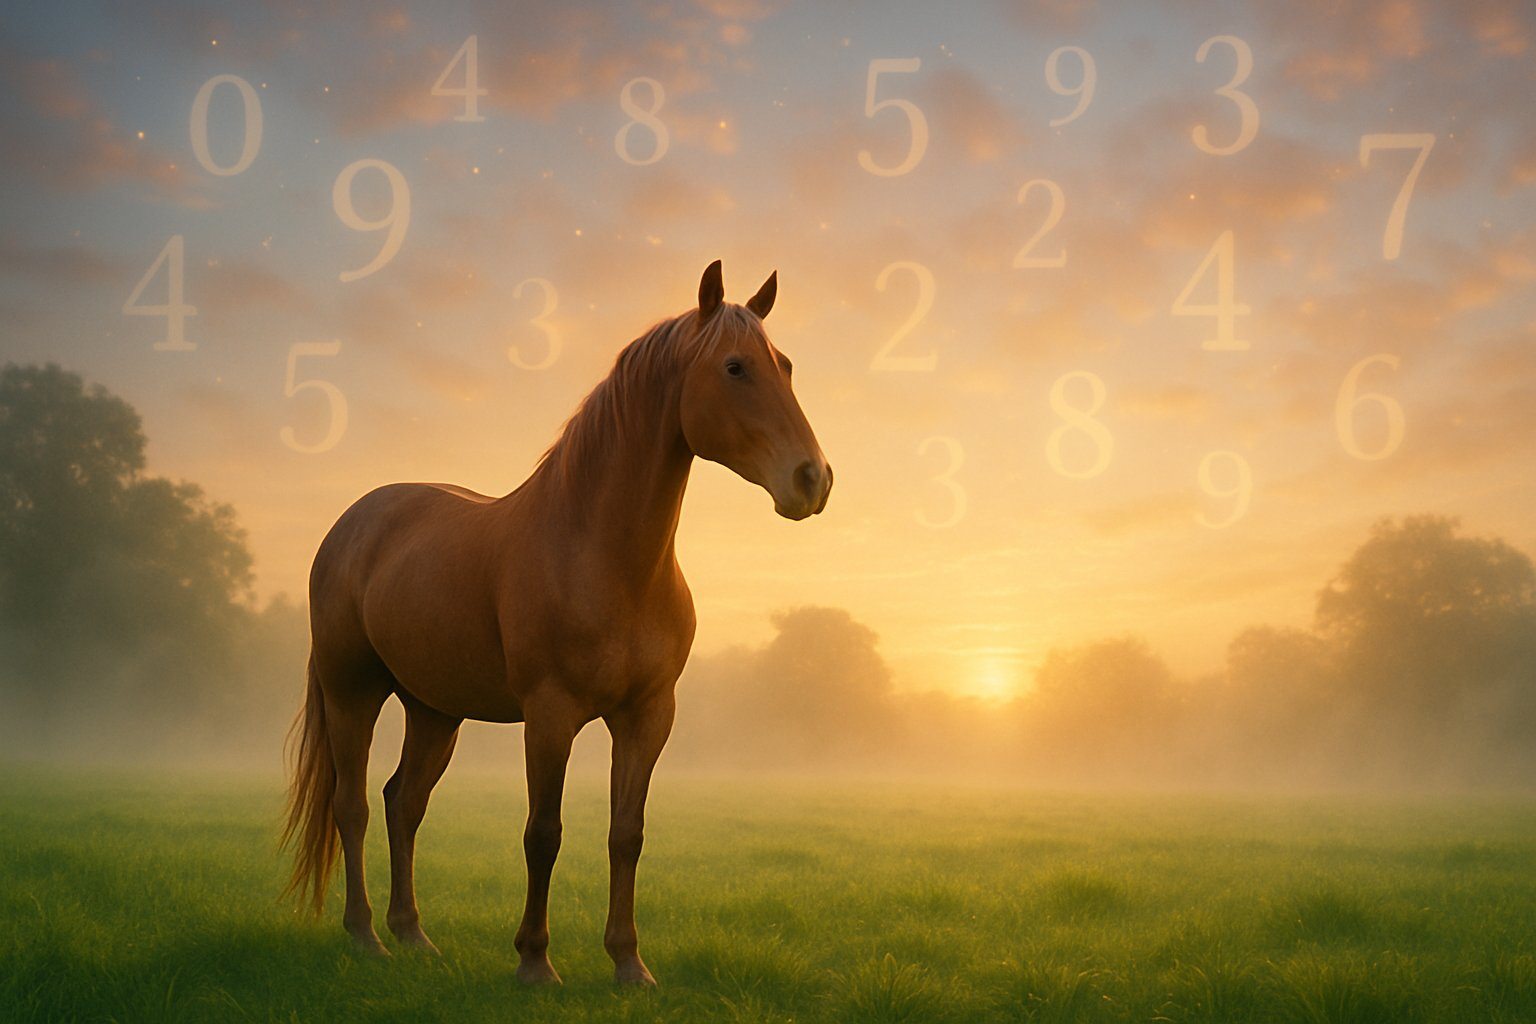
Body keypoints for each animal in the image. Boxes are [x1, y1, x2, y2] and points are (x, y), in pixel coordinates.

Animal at [281, 260, 831, 986]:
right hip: (353, 693)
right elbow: (543, 833)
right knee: (354, 805)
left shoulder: (648, 716)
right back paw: (366, 936)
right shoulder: (549, 715)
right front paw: (535, 962)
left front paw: (629, 964)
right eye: (735, 367)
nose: (812, 480)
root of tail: (352, 523)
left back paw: (414, 936)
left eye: (787, 365)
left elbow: (627, 834)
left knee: (405, 804)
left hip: (435, 710)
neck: (600, 554)